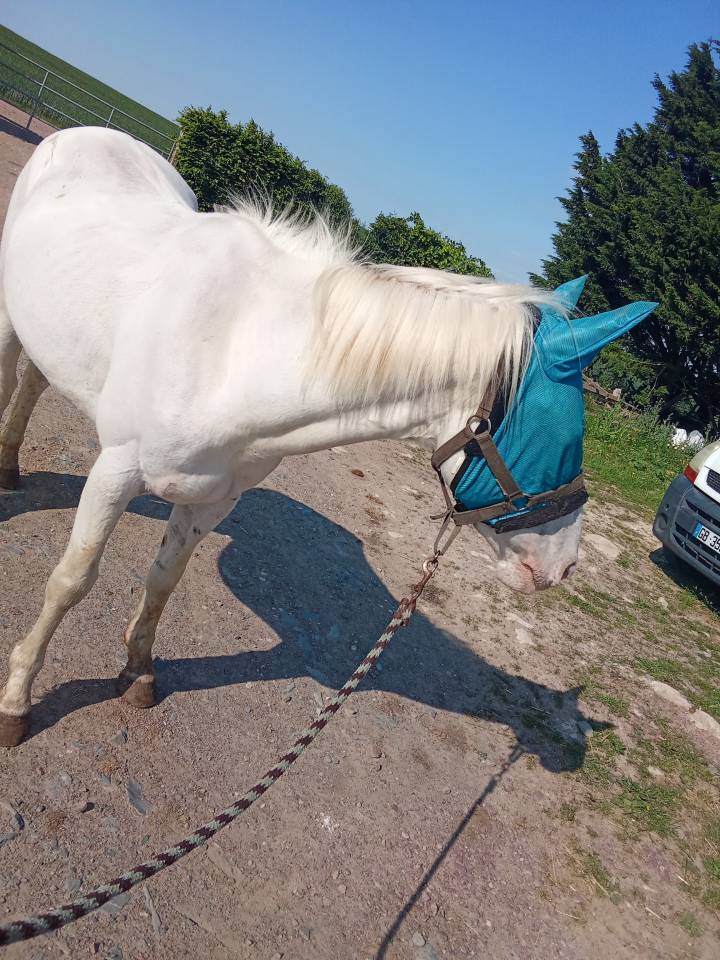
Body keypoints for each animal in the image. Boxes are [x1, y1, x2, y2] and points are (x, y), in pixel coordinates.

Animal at [0, 127, 656, 747]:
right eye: (566, 440)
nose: (565, 567)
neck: (235, 350)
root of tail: (88, 134)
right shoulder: (114, 474)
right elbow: (71, 581)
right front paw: (18, 700)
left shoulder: (213, 500)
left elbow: (164, 578)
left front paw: (137, 671)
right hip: (11, 317)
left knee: (33, 382)